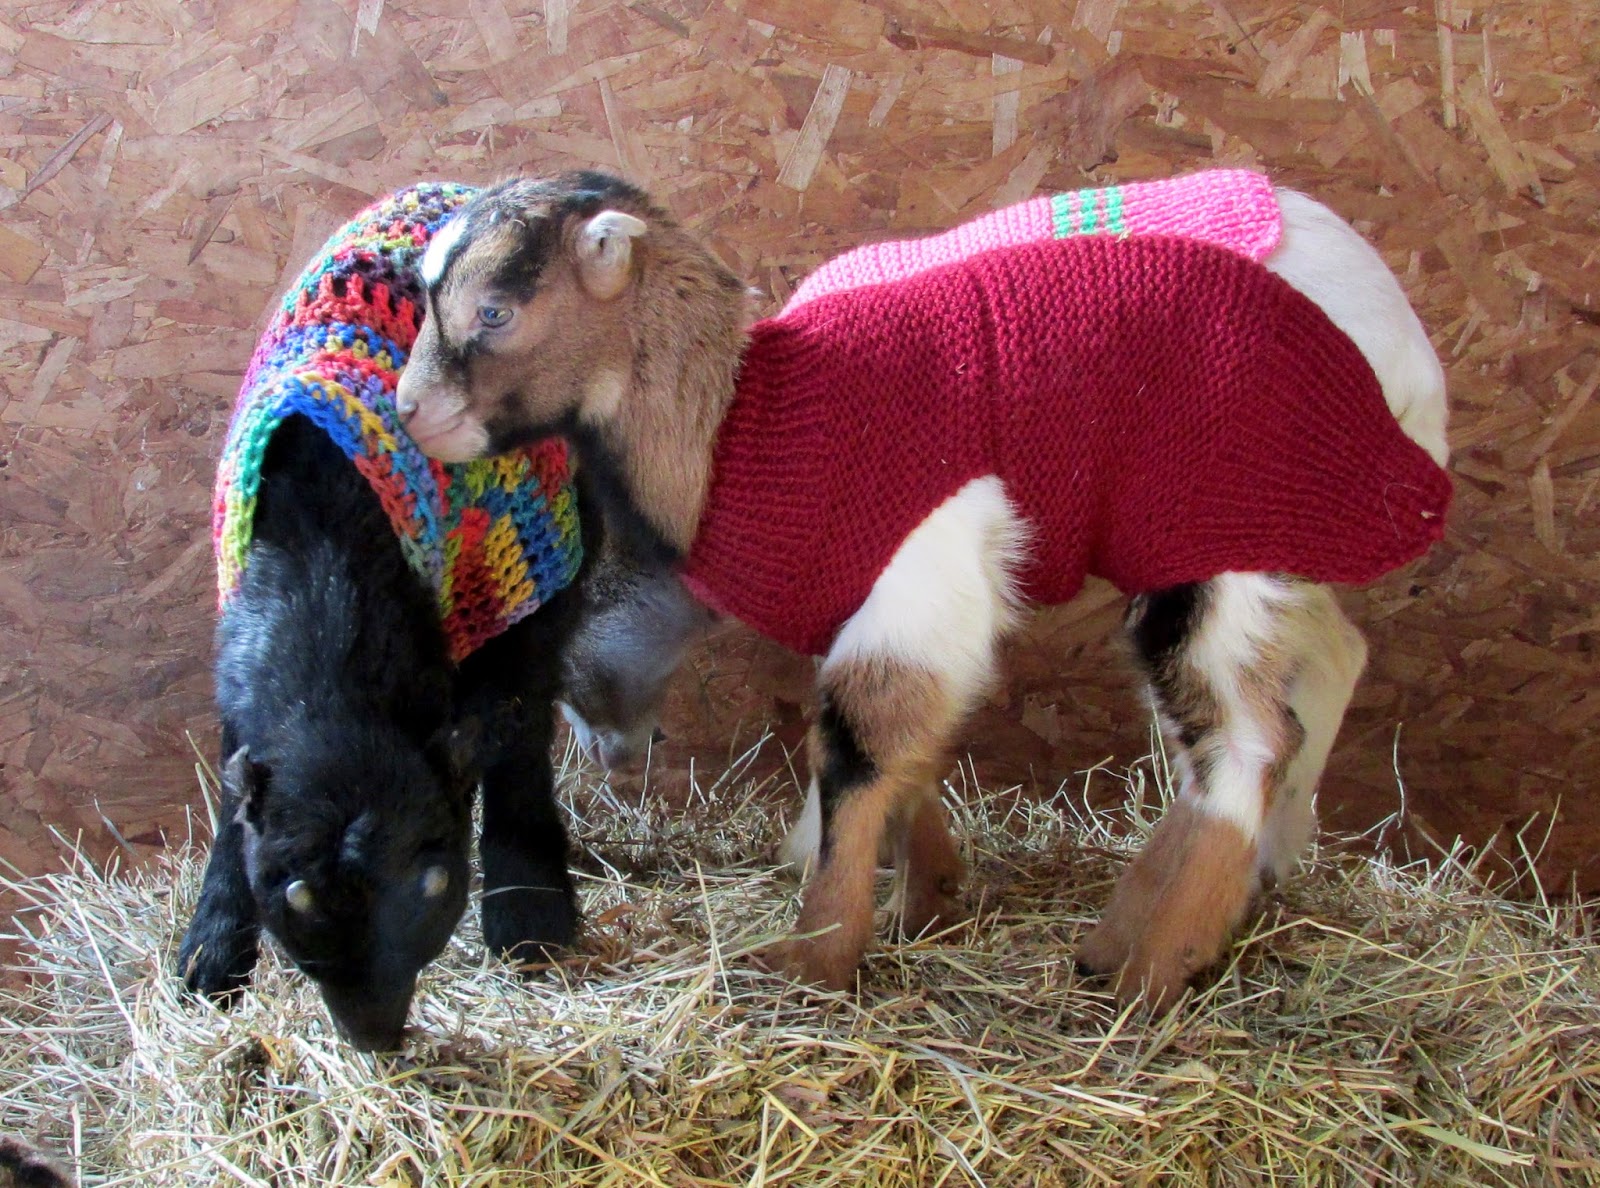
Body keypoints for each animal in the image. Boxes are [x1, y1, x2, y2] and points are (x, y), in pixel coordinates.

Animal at [178, 184, 588, 1049]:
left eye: (434, 884)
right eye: (293, 895)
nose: (373, 1032)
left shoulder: (518, 603)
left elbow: (512, 726)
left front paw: (527, 912)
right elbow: (233, 794)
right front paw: (212, 950)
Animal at [393, 170, 1451, 1009]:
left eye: (494, 311)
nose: (408, 413)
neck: (740, 428)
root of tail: (1414, 380)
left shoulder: (919, 569)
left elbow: (862, 743)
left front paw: (816, 954)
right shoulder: (887, 602)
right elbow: (911, 744)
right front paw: (929, 901)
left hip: (1215, 530)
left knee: (1243, 740)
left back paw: (1153, 972)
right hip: (1281, 544)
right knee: (1317, 674)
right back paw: (1170, 922)